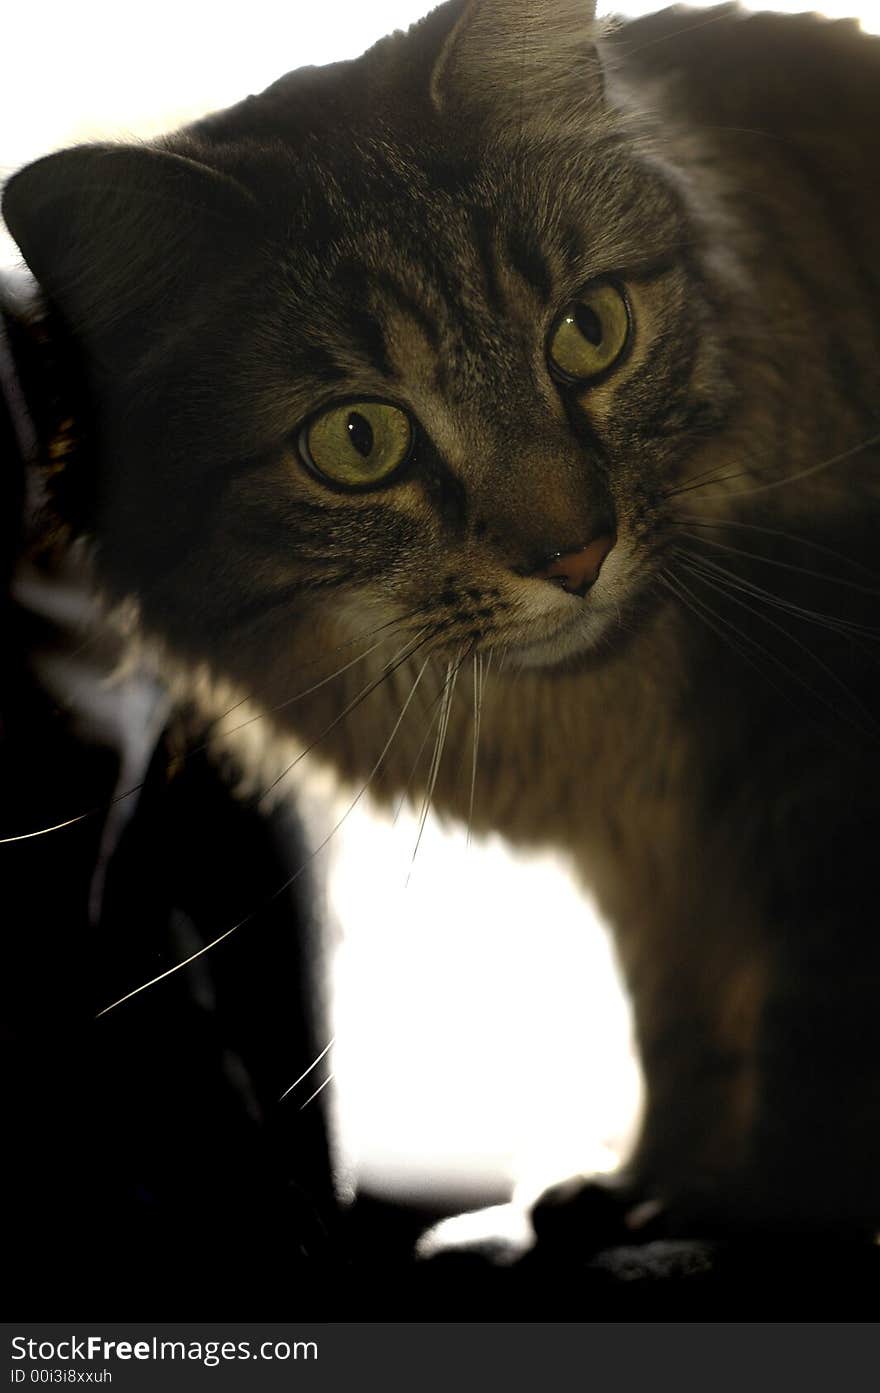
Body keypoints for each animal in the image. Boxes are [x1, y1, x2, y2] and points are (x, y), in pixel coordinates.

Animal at [5, 0, 880, 1264]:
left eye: (588, 332)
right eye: (357, 440)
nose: (576, 556)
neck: (604, 717)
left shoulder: (815, 773)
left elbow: (813, 1035)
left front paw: (764, 1214)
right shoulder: (656, 858)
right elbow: (683, 1018)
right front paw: (650, 1184)